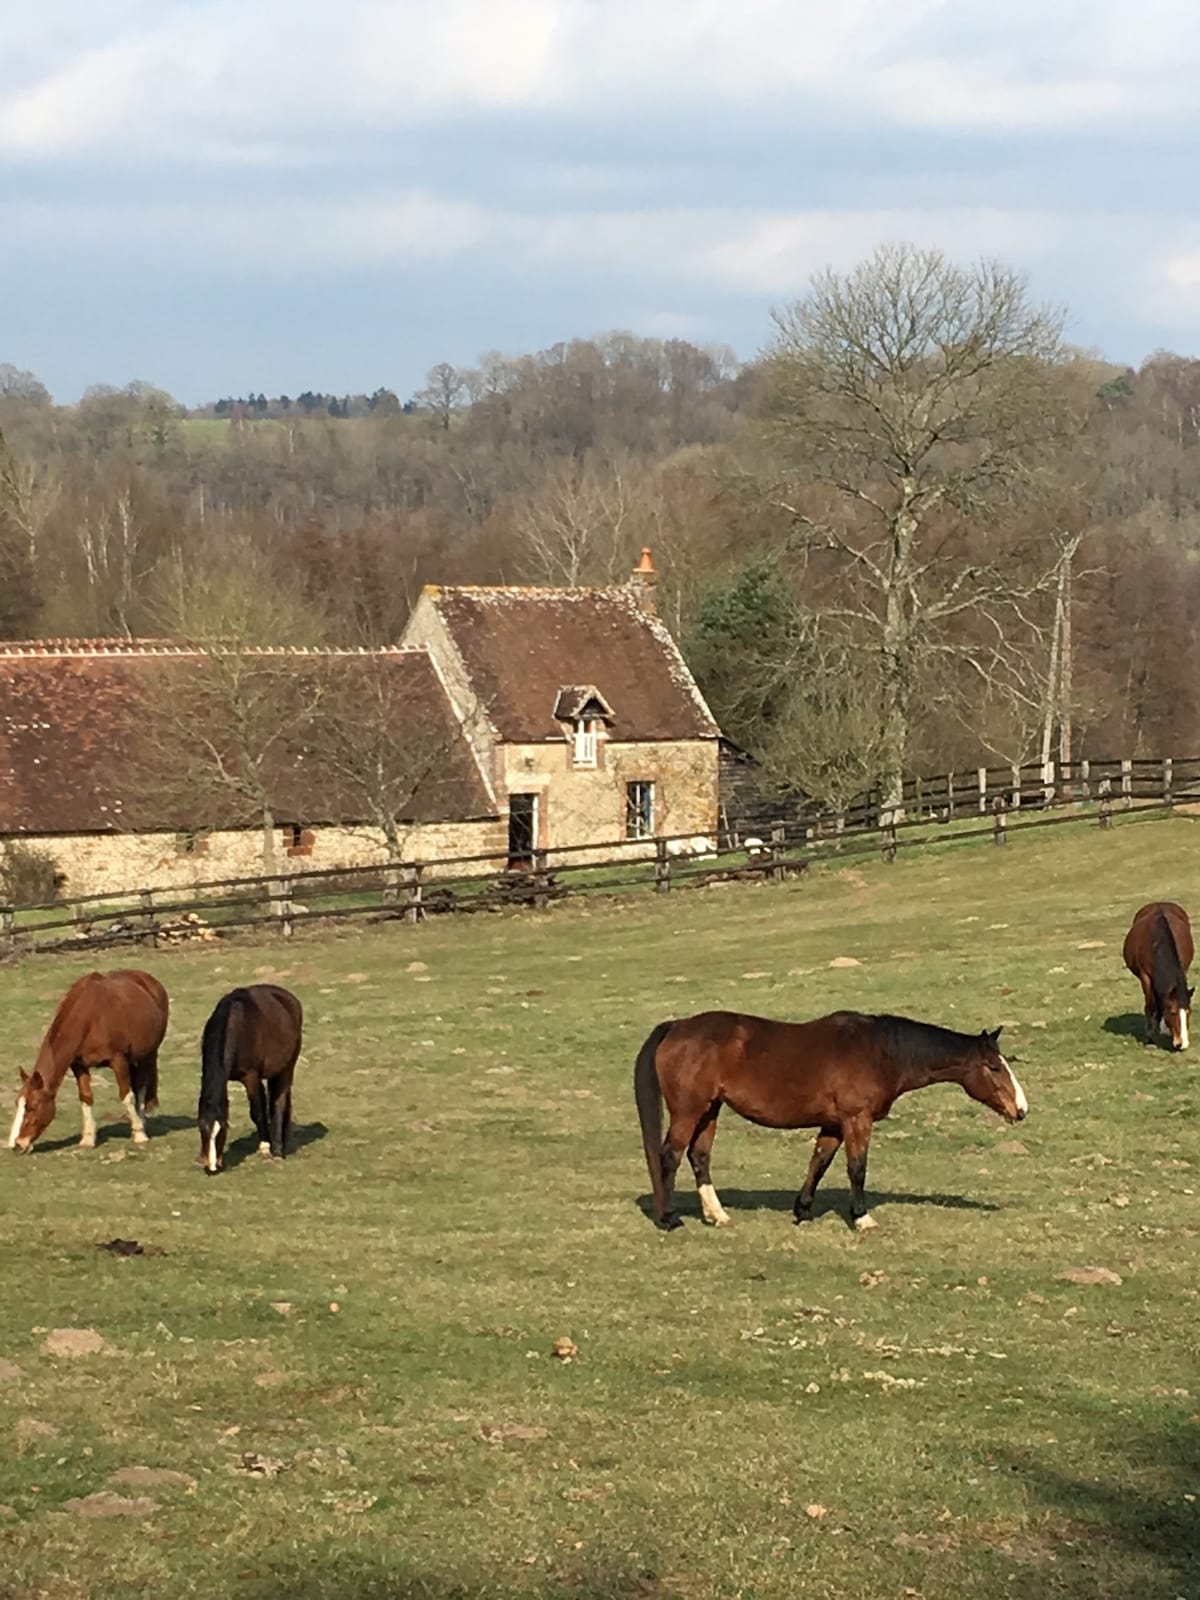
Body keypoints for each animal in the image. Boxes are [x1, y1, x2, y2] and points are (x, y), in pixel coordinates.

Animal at [8, 969, 169, 1154]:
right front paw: (88, 1138)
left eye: (33, 1106)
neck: (90, 1018)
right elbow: (86, 1097)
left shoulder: (118, 1060)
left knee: (141, 1087)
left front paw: (139, 1134)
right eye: (17, 1103)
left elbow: (126, 1096)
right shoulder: (79, 1066)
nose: (17, 1145)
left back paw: (141, 1122)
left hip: (148, 1054)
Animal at [198, 984, 303, 1175]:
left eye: (222, 1130)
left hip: (287, 1067)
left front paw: (265, 1147)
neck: (235, 1026)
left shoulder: (251, 1077)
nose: (212, 1168)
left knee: (279, 1104)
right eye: (202, 1128)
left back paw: (277, 1149)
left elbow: (258, 1112)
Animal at [634, 1009, 1028, 1231]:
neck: (881, 1052)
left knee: (699, 1157)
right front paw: (862, 1218)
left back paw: (717, 1215)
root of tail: (676, 1027)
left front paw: (803, 1210)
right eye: (994, 1067)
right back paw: (669, 1219)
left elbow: (819, 1163)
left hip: (710, 1110)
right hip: (689, 1111)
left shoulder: (835, 1124)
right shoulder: (857, 1120)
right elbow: (857, 1168)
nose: (1021, 1109)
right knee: (669, 1157)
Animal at [1123, 901, 1194, 1050]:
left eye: (1189, 1011)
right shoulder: (1145, 976)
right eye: (1172, 1012)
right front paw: (1151, 1039)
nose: (1183, 1044)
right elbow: (1151, 1005)